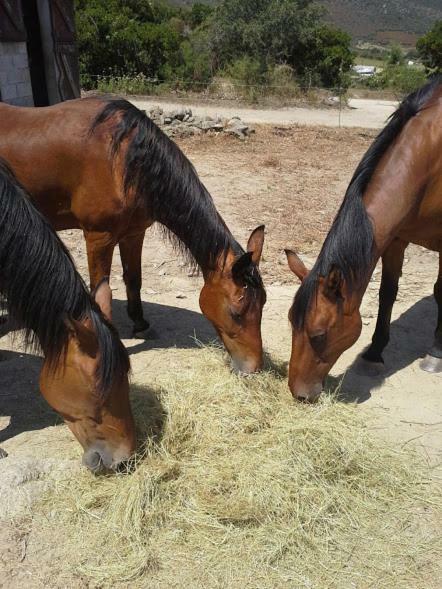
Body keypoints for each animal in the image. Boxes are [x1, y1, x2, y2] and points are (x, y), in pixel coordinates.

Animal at [0, 96, 266, 372]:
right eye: (236, 313)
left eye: (263, 304)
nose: (253, 368)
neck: (123, 159)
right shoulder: (99, 237)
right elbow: (101, 292)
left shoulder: (133, 234)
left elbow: (134, 280)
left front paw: (140, 325)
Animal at [284, 78, 440, 400]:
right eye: (291, 321)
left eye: (319, 335)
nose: (299, 393)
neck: (430, 158)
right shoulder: (394, 239)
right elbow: (387, 293)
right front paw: (374, 353)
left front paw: (435, 354)